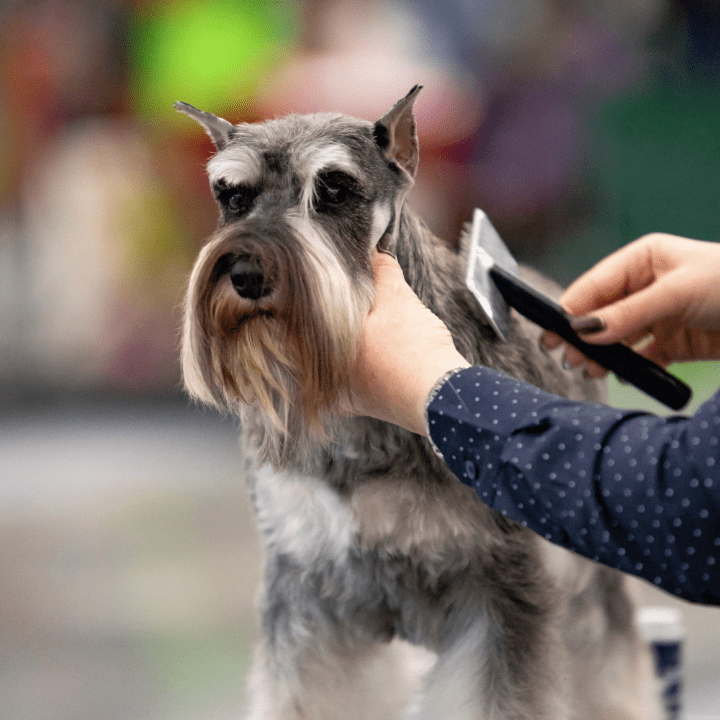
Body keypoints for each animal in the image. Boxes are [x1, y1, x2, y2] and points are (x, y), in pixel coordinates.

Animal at [176, 88, 660, 720]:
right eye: (232, 194)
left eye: (335, 188)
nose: (246, 271)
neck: (356, 429)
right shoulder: (305, 595)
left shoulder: (502, 592)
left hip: (590, 596)